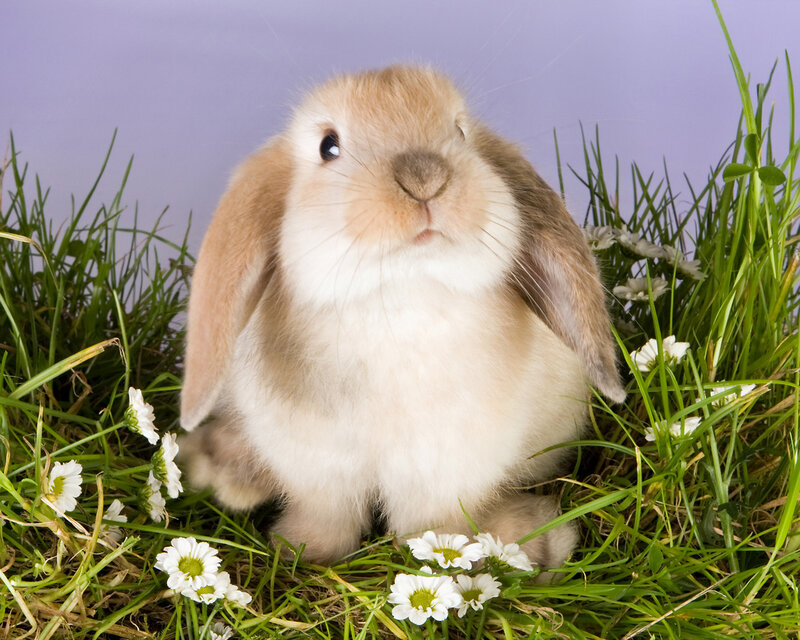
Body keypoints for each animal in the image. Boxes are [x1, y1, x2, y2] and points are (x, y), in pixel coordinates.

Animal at [178, 65, 625, 570]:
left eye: (460, 132)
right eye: (328, 146)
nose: (424, 177)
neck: (398, 301)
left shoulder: (443, 472)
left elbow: (429, 526)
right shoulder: (318, 467)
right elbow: (325, 521)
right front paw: (302, 553)